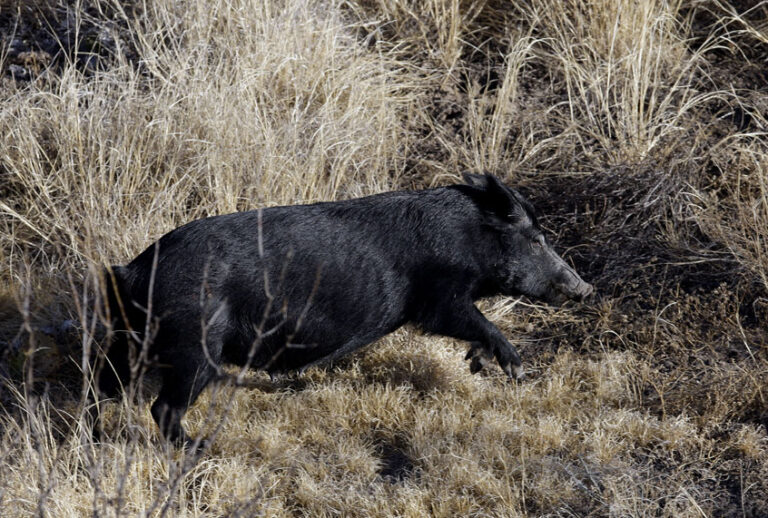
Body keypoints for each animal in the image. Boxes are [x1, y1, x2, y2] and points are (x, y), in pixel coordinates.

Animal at [97, 173, 592, 445]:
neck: (468, 237)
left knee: (109, 385)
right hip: (196, 345)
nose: (584, 288)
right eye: (535, 239)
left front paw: (476, 365)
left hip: (133, 339)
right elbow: (468, 319)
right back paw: (201, 448)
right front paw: (516, 371)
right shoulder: (437, 296)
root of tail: (134, 270)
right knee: (164, 407)